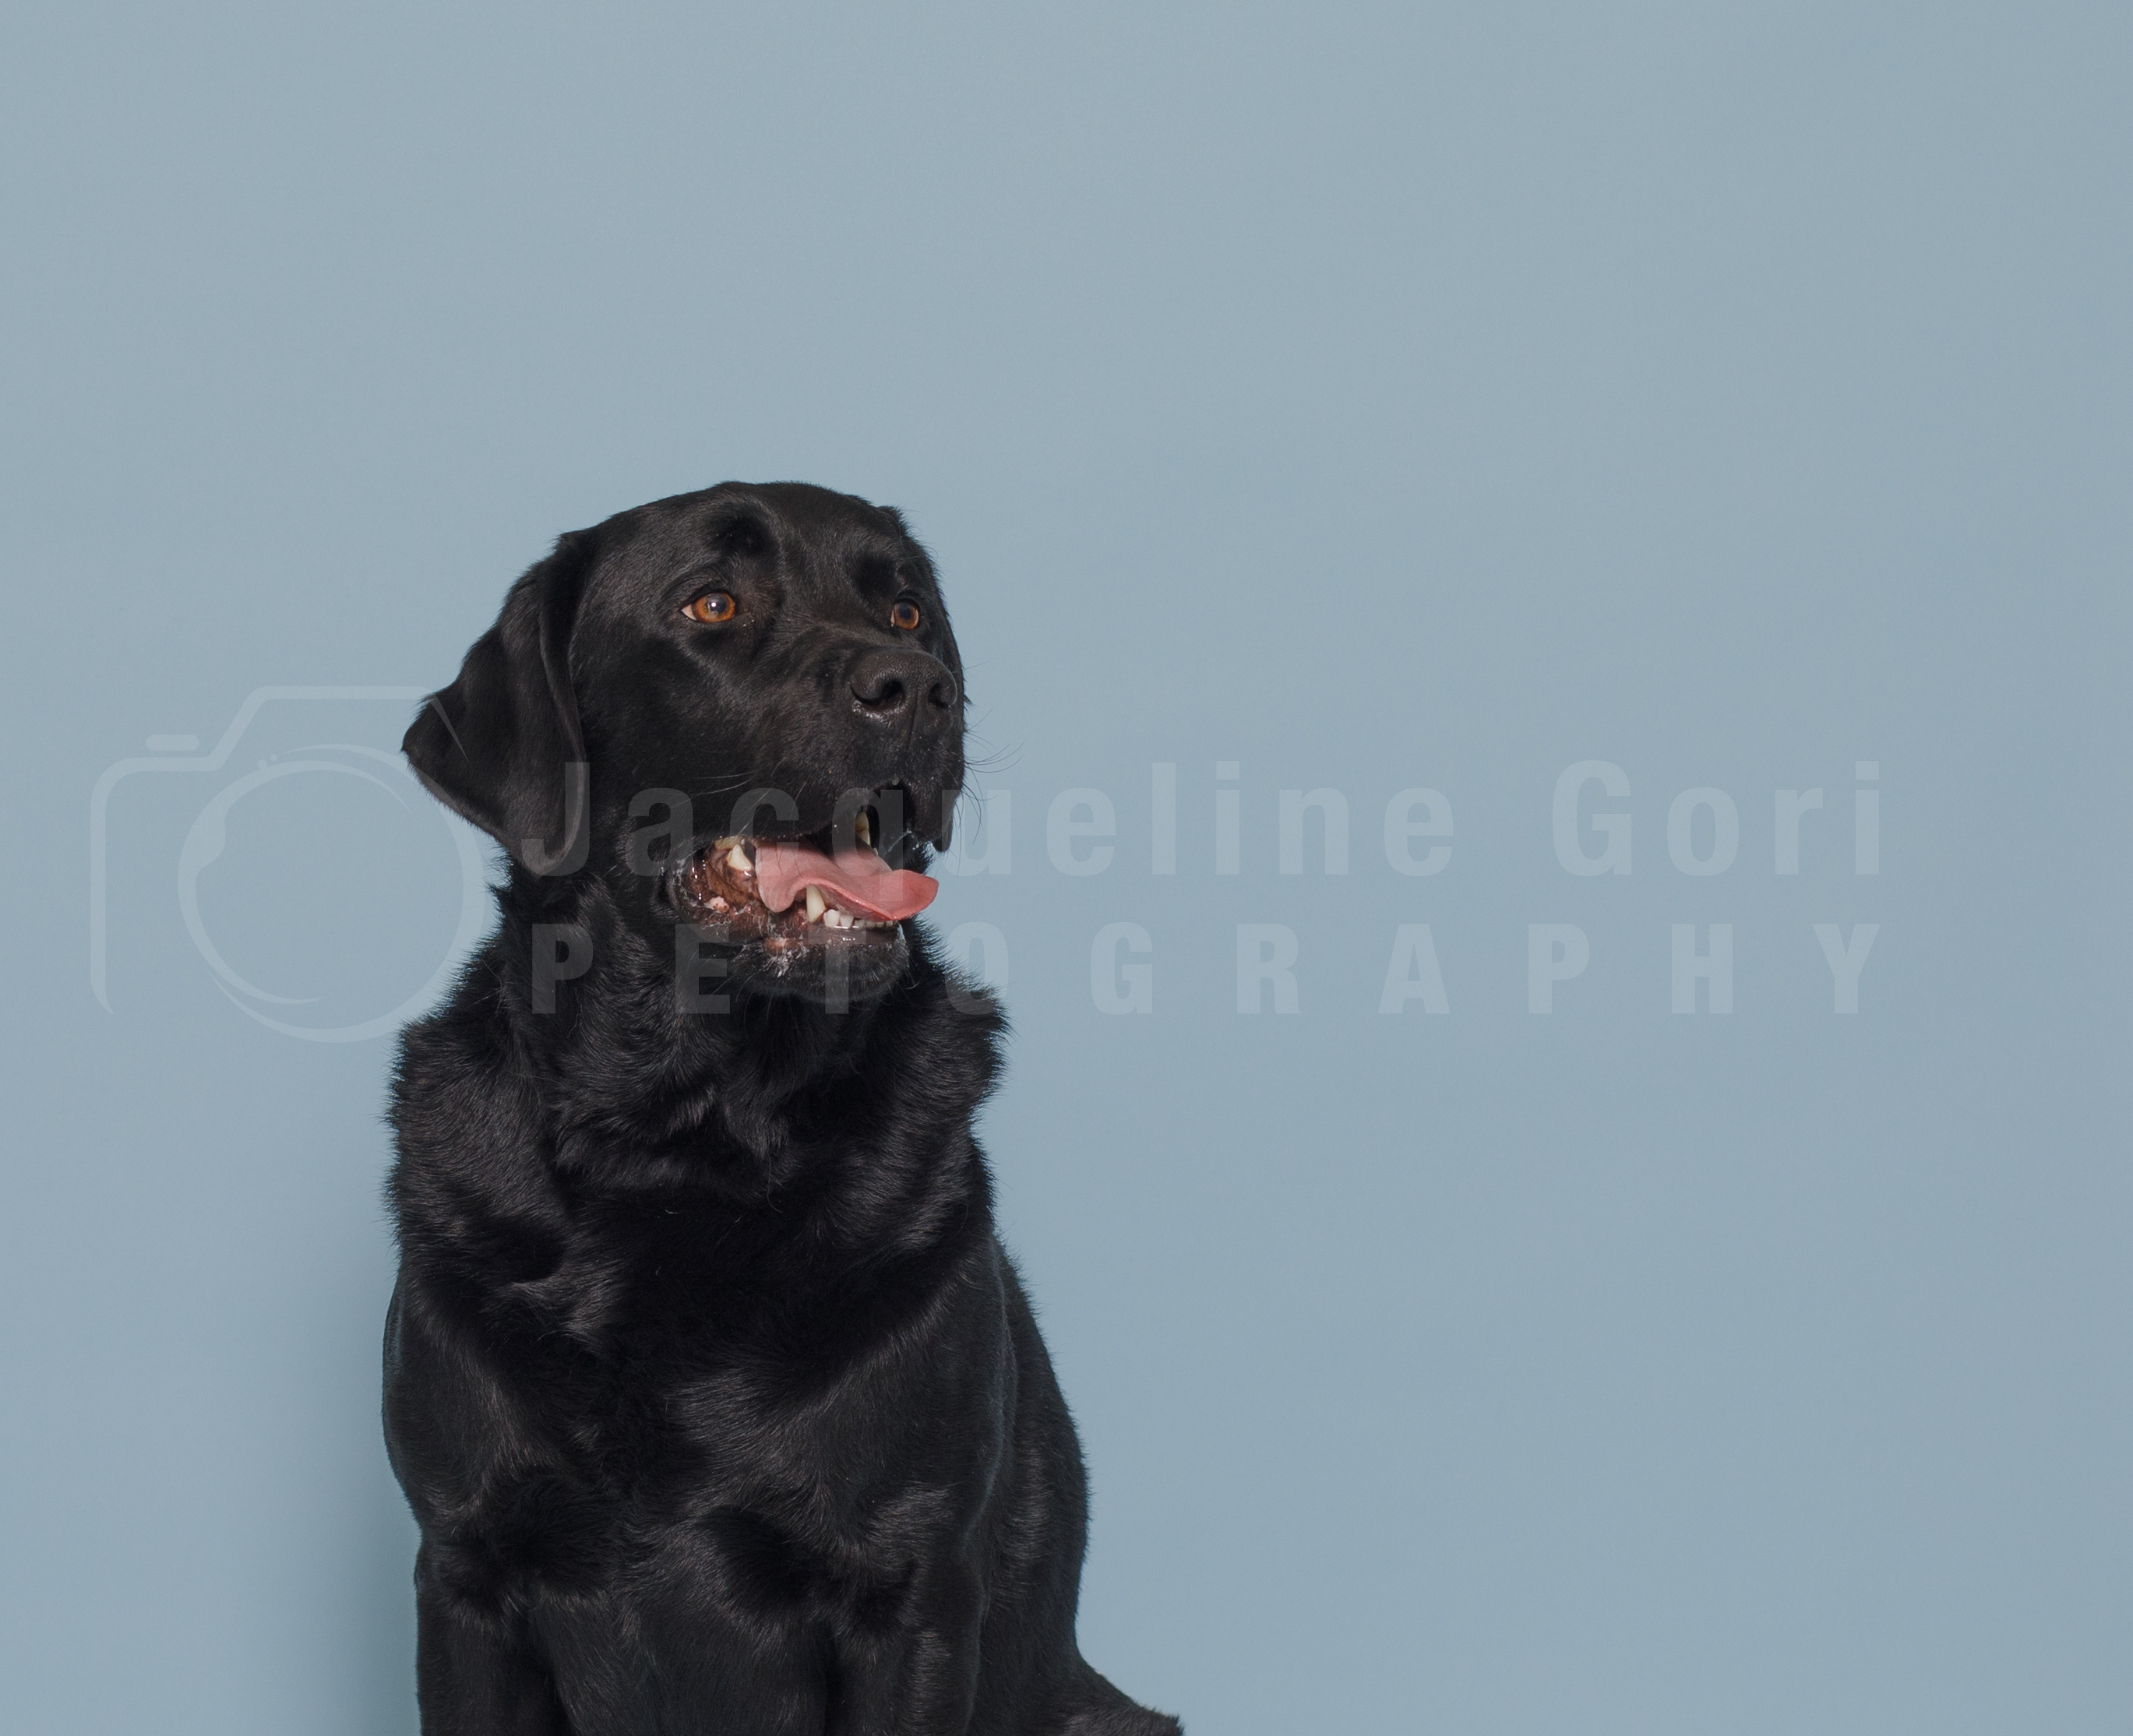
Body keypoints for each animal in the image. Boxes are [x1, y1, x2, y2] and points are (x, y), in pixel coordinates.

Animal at [384, 482, 1180, 1735]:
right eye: (711, 603)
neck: (684, 1140)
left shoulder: (908, 1592)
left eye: (905, 607)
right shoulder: (464, 1572)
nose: (919, 688)